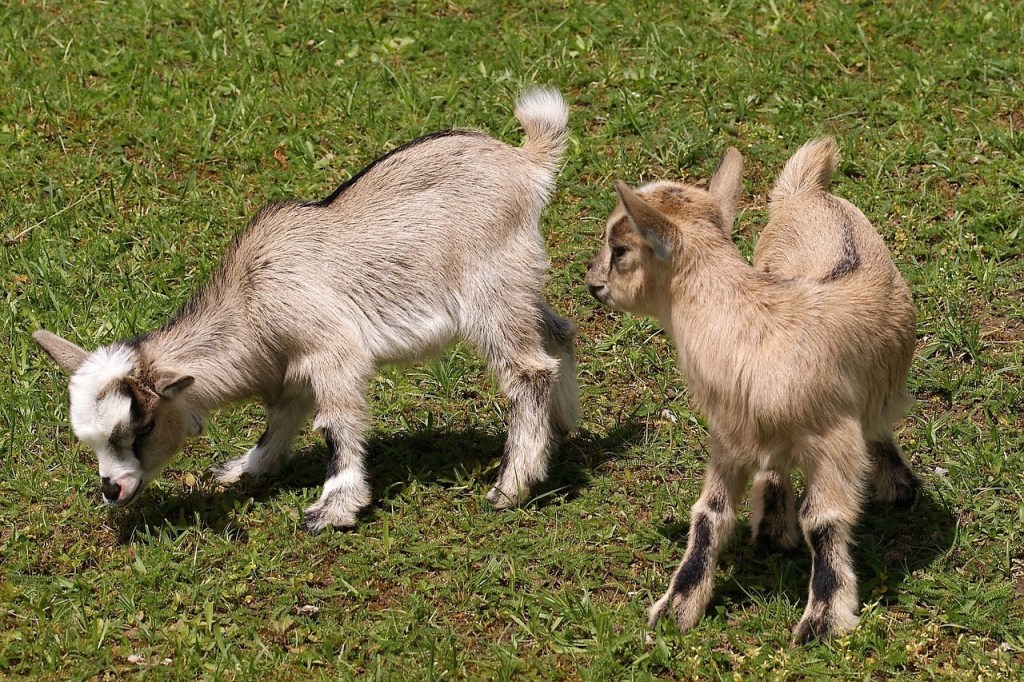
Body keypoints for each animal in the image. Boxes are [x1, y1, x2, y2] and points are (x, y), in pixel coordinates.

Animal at [34, 88, 579, 533]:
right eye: (89, 439)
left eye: (142, 427)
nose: (113, 489)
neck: (250, 300)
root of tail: (526, 164)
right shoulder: (290, 363)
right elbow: (280, 416)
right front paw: (245, 469)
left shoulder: (333, 350)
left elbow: (336, 424)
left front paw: (334, 508)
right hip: (520, 283)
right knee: (558, 333)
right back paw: (562, 426)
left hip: (490, 291)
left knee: (528, 370)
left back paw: (511, 485)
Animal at [584, 139, 918, 642]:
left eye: (620, 248)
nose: (591, 282)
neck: (754, 324)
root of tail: (806, 193)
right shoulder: (729, 437)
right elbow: (709, 514)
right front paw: (677, 607)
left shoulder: (832, 439)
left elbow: (823, 520)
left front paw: (823, 620)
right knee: (777, 467)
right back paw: (773, 526)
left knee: (873, 428)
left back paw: (898, 486)